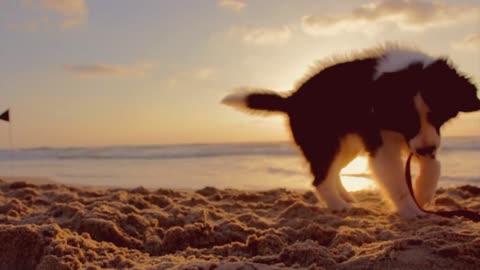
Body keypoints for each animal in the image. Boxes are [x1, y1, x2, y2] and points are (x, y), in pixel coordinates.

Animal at [222, 46, 480, 217]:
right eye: (405, 119)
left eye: (438, 115)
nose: (427, 149)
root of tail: (292, 99)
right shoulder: (384, 145)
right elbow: (397, 180)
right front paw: (411, 210)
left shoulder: (421, 139)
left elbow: (433, 166)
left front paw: (423, 193)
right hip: (324, 143)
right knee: (320, 177)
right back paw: (338, 205)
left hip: (347, 145)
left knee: (334, 170)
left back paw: (346, 197)